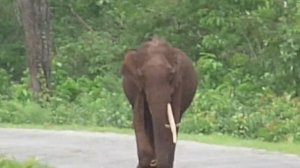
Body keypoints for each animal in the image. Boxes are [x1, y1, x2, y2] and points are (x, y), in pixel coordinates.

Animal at [120, 37, 198, 168]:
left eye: (171, 75)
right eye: (141, 76)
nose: (154, 162)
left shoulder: (178, 84)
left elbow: (172, 122)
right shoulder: (138, 88)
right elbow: (138, 121)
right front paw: (147, 161)